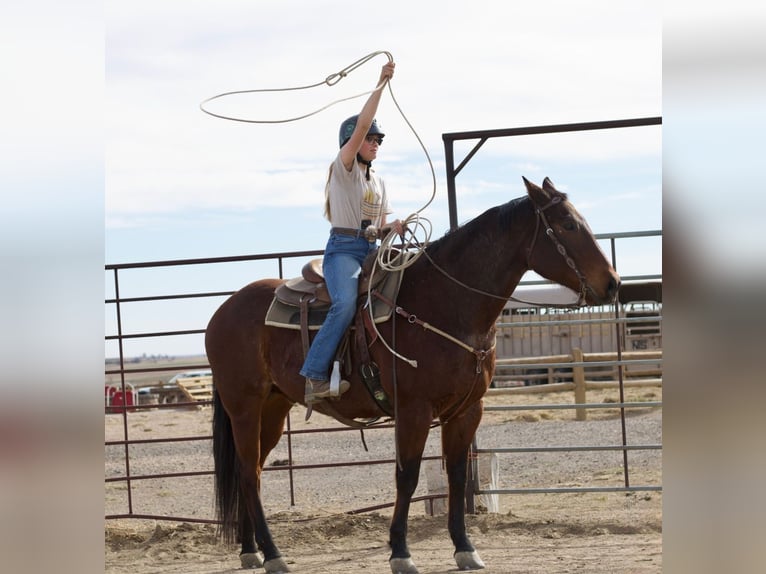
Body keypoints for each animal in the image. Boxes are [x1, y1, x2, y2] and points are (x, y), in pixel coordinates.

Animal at [205, 176, 620, 573]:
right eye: (567, 224)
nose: (613, 283)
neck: (445, 303)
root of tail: (224, 310)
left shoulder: (467, 411)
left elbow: (456, 475)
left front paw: (465, 548)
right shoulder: (413, 410)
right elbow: (407, 476)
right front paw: (400, 554)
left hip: (273, 408)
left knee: (251, 472)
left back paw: (252, 552)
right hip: (244, 407)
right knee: (249, 473)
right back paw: (274, 555)